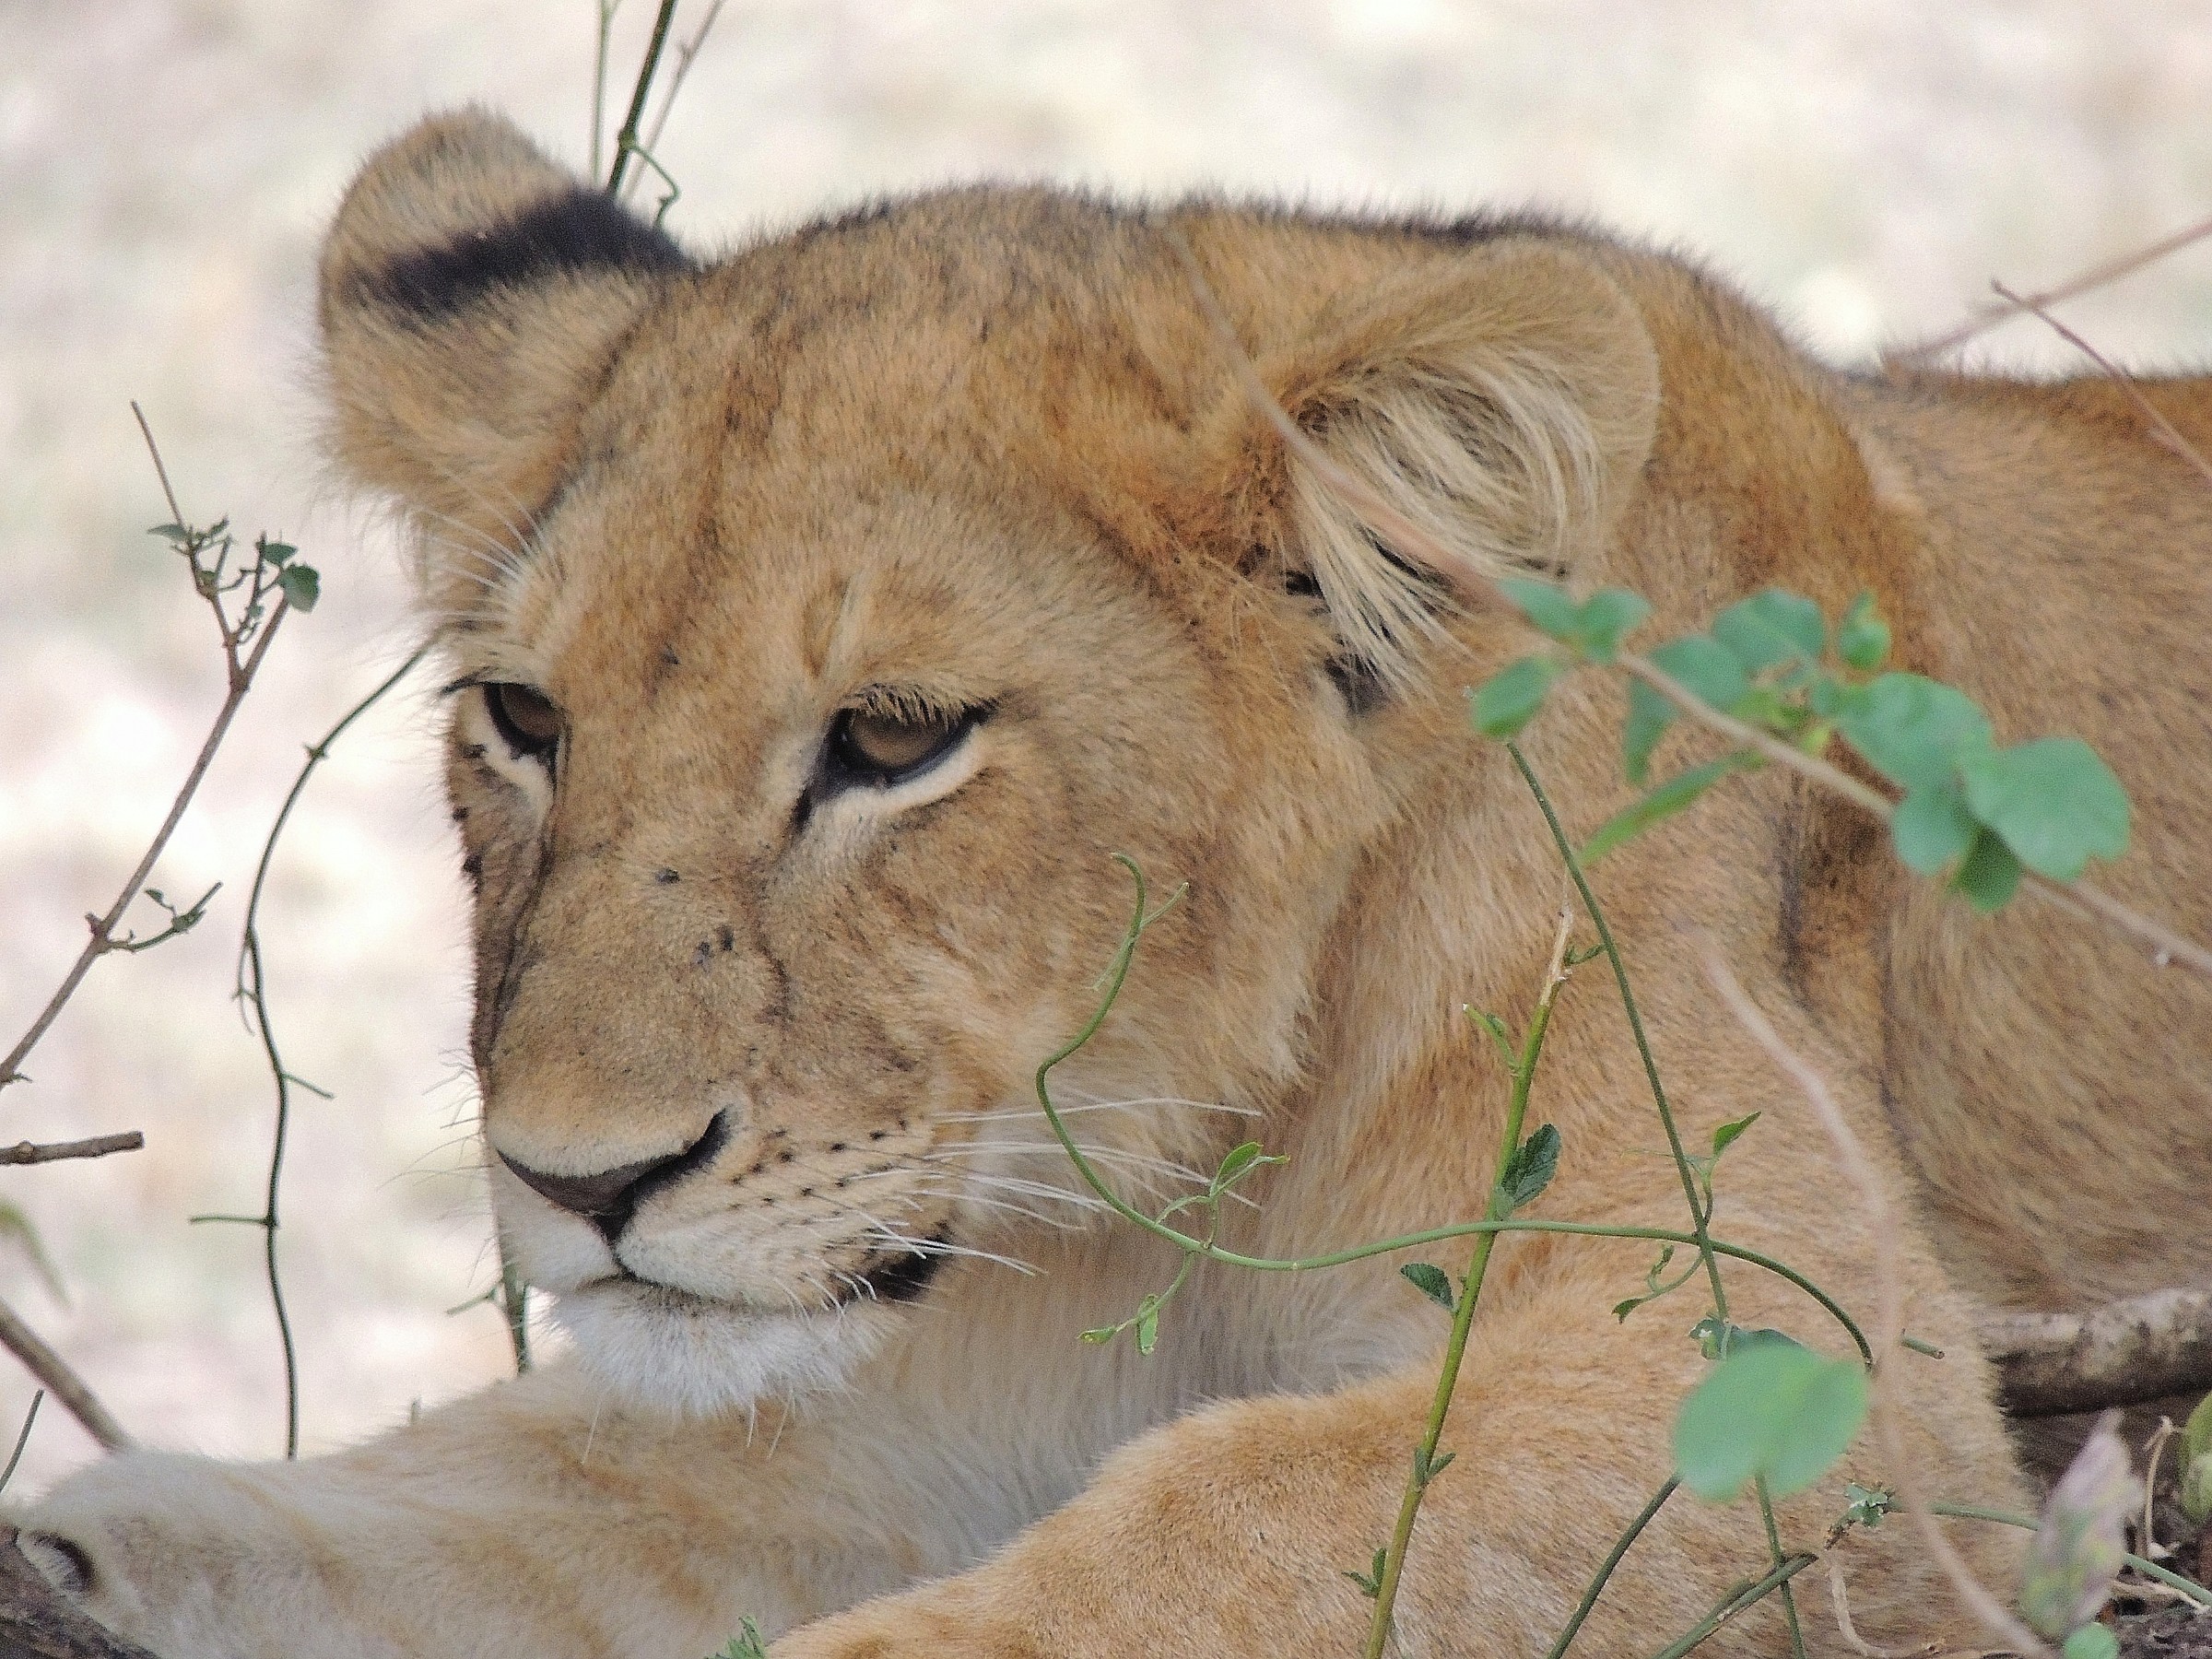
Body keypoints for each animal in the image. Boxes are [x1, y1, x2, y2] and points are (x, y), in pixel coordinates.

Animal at [12, 109, 2212, 1659]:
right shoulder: (881, 1400)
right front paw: (79, 1551)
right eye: (527, 717)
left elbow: (1219, 1530)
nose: (580, 1183)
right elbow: (436, 1503)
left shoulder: (1802, 1387)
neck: (1181, 1172)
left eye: (895, 737)